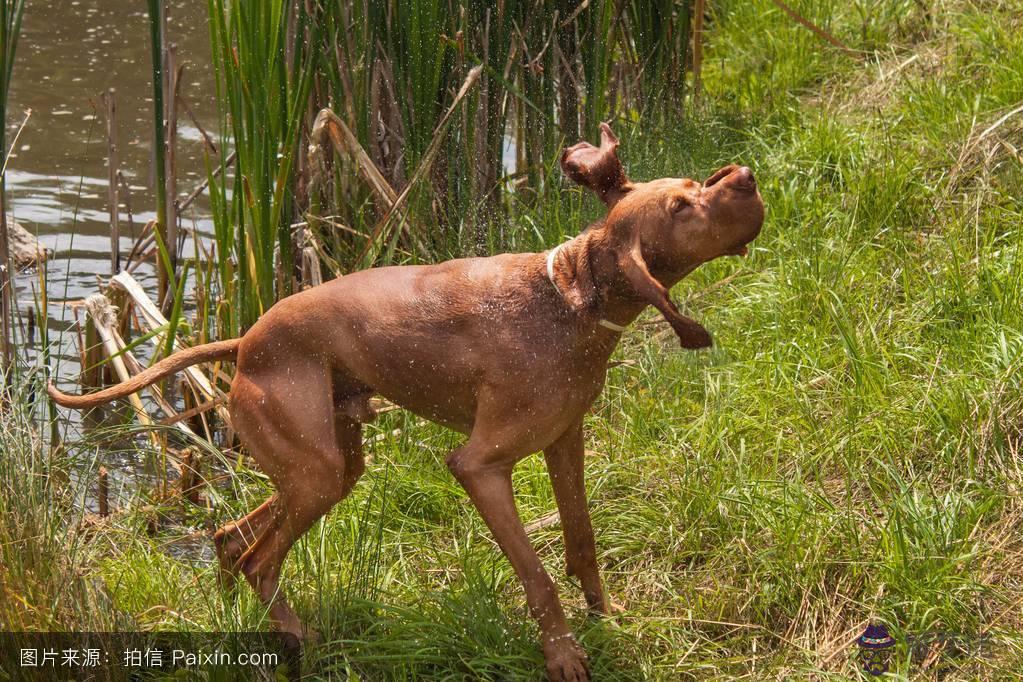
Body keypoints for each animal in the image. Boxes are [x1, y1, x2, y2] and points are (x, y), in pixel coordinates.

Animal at [51, 124, 765, 682]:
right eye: (681, 206)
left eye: (693, 186)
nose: (745, 175)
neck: (571, 296)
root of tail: (245, 342)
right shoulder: (480, 466)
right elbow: (537, 576)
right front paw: (563, 656)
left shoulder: (567, 441)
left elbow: (583, 542)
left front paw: (605, 620)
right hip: (317, 474)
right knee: (258, 560)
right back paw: (302, 639)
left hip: (330, 467)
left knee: (230, 540)